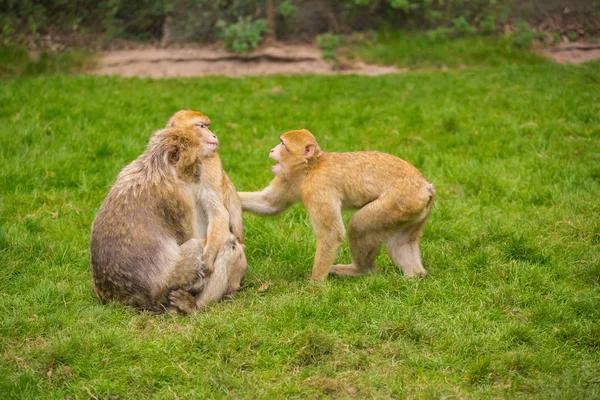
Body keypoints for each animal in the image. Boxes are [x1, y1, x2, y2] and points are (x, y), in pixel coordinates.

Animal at [89, 127, 211, 312]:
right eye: (196, 159)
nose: (200, 168)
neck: (159, 168)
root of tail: (123, 299)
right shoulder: (178, 200)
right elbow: (189, 237)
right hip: (169, 283)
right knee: (194, 245)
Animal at [165, 111, 247, 308]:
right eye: (201, 126)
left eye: (207, 126)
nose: (214, 135)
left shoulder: (209, 168)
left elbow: (220, 215)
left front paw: (208, 260)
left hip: (238, 274)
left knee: (230, 244)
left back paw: (194, 306)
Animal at [237, 130, 434, 280]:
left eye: (282, 144)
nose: (271, 150)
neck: (310, 168)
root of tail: (425, 186)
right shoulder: (289, 179)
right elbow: (270, 204)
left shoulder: (318, 188)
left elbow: (332, 233)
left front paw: (315, 285)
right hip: (414, 210)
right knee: (401, 241)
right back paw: (416, 275)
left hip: (400, 201)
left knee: (359, 226)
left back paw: (360, 270)